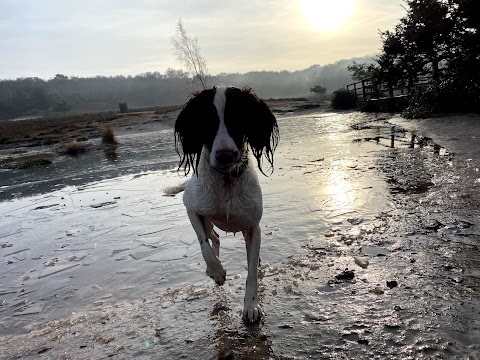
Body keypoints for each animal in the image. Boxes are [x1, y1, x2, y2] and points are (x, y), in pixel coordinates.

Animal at [173, 85, 278, 324]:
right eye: (206, 121)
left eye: (237, 118)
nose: (225, 155)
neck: (226, 181)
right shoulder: (191, 208)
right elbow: (203, 244)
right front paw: (216, 271)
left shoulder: (253, 227)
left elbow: (251, 272)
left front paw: (251, 306)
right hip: (207, 221)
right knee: (213, 237)